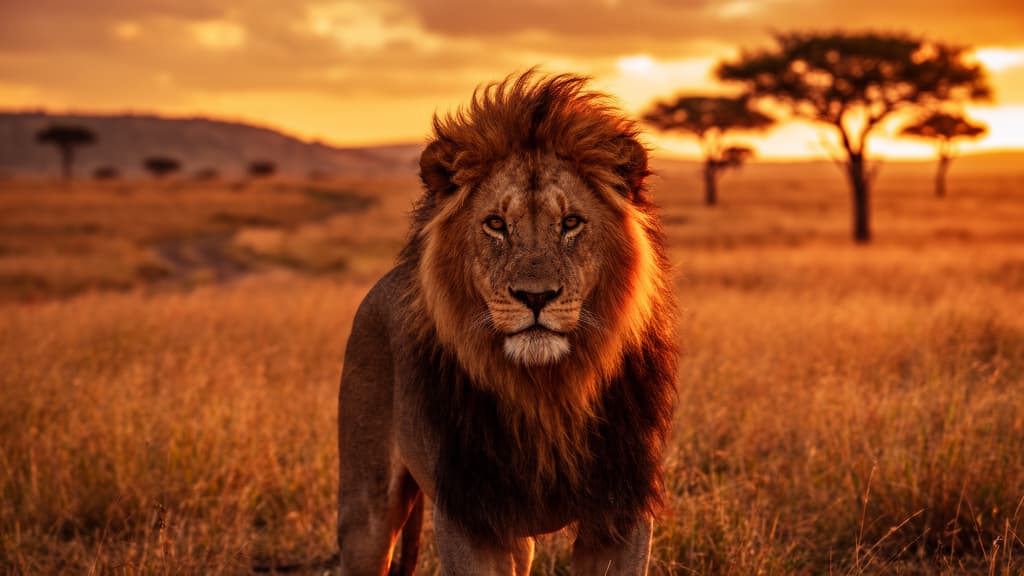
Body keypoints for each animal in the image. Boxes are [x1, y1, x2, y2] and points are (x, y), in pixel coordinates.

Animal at [337, 71, 677, 576]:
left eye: (571, 222)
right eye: (496, 224)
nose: (535, 297)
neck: (545, 392)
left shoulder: (621, 511)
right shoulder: (469, 516)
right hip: (366, 509)